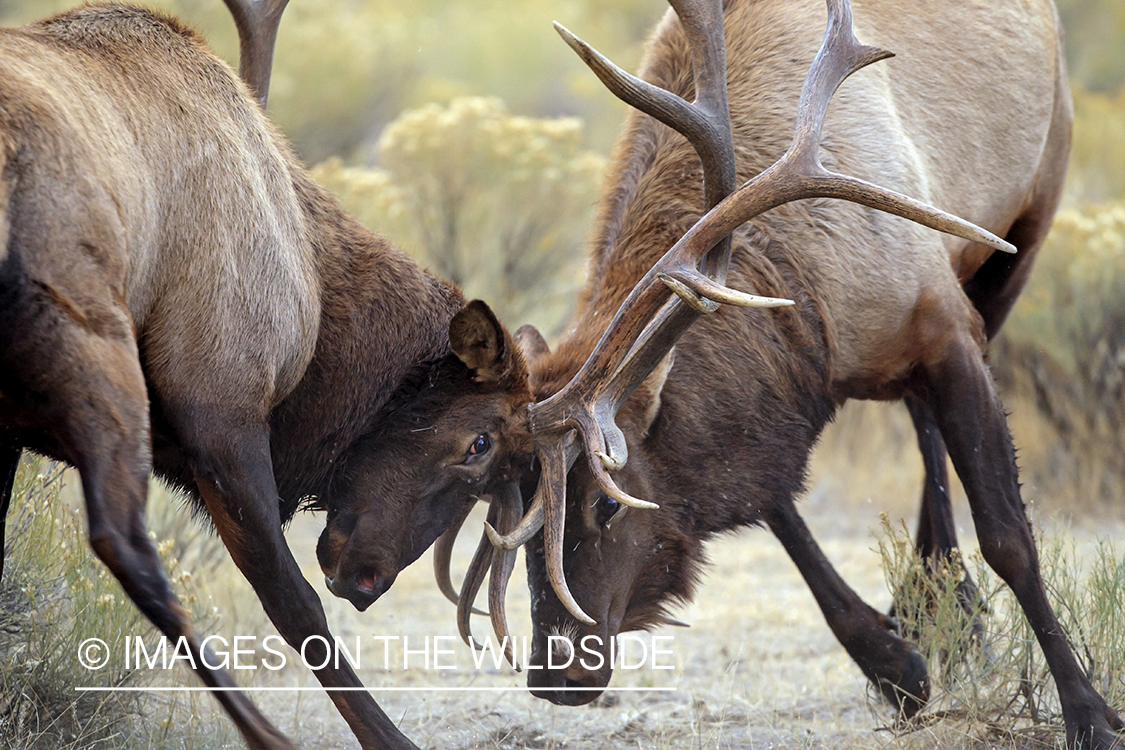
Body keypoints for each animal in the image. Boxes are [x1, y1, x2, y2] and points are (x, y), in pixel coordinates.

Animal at [0, 1, 526, 750]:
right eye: (480, 442)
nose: (368, 581)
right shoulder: (222, 406)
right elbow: (293, 602)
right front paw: (388, 738)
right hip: (94, 345)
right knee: (124, 541)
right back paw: (268, 733)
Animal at [409, 0, 1120, 746]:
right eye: (511, 496)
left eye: (607, 503)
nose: (554, 677)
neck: (811, 307)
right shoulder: (769, 400)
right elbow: (770, 502)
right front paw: (896, 663)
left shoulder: (942, 324)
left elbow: (1009, 536)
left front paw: (1088, 712)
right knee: (921, 425)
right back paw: (935, 605)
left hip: (1023, 233)